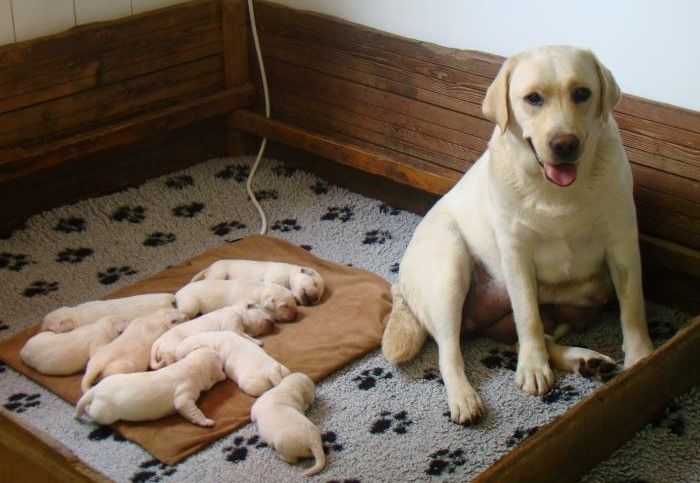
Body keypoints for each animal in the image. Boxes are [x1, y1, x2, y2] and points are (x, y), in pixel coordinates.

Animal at [74, 348, 223, 428]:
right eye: (220, 362)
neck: (190, 366)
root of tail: (96, 389)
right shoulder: (184, 396)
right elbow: (192, 410)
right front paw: (206, 421)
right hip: (103, 413)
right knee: (91, 411)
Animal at [189, 260, 326, 306]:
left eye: (319, 298)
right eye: (315, 283)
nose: (314, 300)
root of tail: (209, 268)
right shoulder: (273, 278)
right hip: (219, 272)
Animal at [380, 44, 652, 424]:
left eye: (582, 93)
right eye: (533, 98)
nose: (564, 143)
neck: (558, 195)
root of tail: (399, 285)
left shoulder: (622, 242)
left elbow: (633, 308)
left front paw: (642, 357)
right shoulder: (516, 255)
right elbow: (528, 318)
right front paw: (533, 369)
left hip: (574, 309)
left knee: (542, 335)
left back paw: (586, 360)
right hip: (449, 268)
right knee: (449, 352)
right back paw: (465, 398)